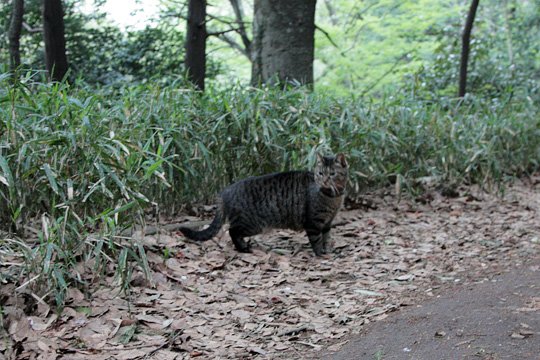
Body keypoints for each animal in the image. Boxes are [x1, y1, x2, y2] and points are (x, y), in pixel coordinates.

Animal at [180, 153, 350, 256]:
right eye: (320, 173)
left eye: (332, 174)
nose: (325, 180)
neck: (333, 196)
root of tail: (224, 192)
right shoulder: (313, 222)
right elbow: (316, 240)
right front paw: (320, 254)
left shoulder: (328, 222)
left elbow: (326, 237)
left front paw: (327, 250)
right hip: (252, 224)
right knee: (232, 231)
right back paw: (243, 249)